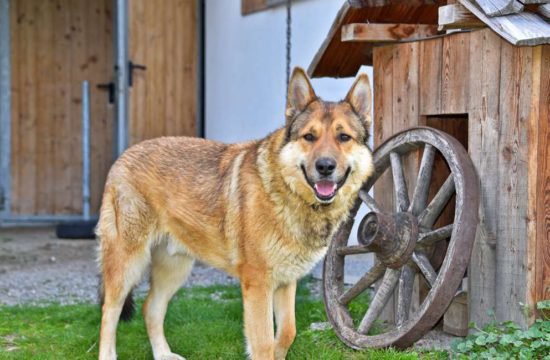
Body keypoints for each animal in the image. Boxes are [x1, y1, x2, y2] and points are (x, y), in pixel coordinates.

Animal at [97, 66, 378, 358]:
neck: (289, 194)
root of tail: (123, 156)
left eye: (343, 137)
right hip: (127, 264)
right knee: (109, 311)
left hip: (175, 268)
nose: (325, 167)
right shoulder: (258, 284)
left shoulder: (286, 282)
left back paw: (163, 354)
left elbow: (287, 332)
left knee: (150, 307)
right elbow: (264, 343)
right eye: (309, 137)